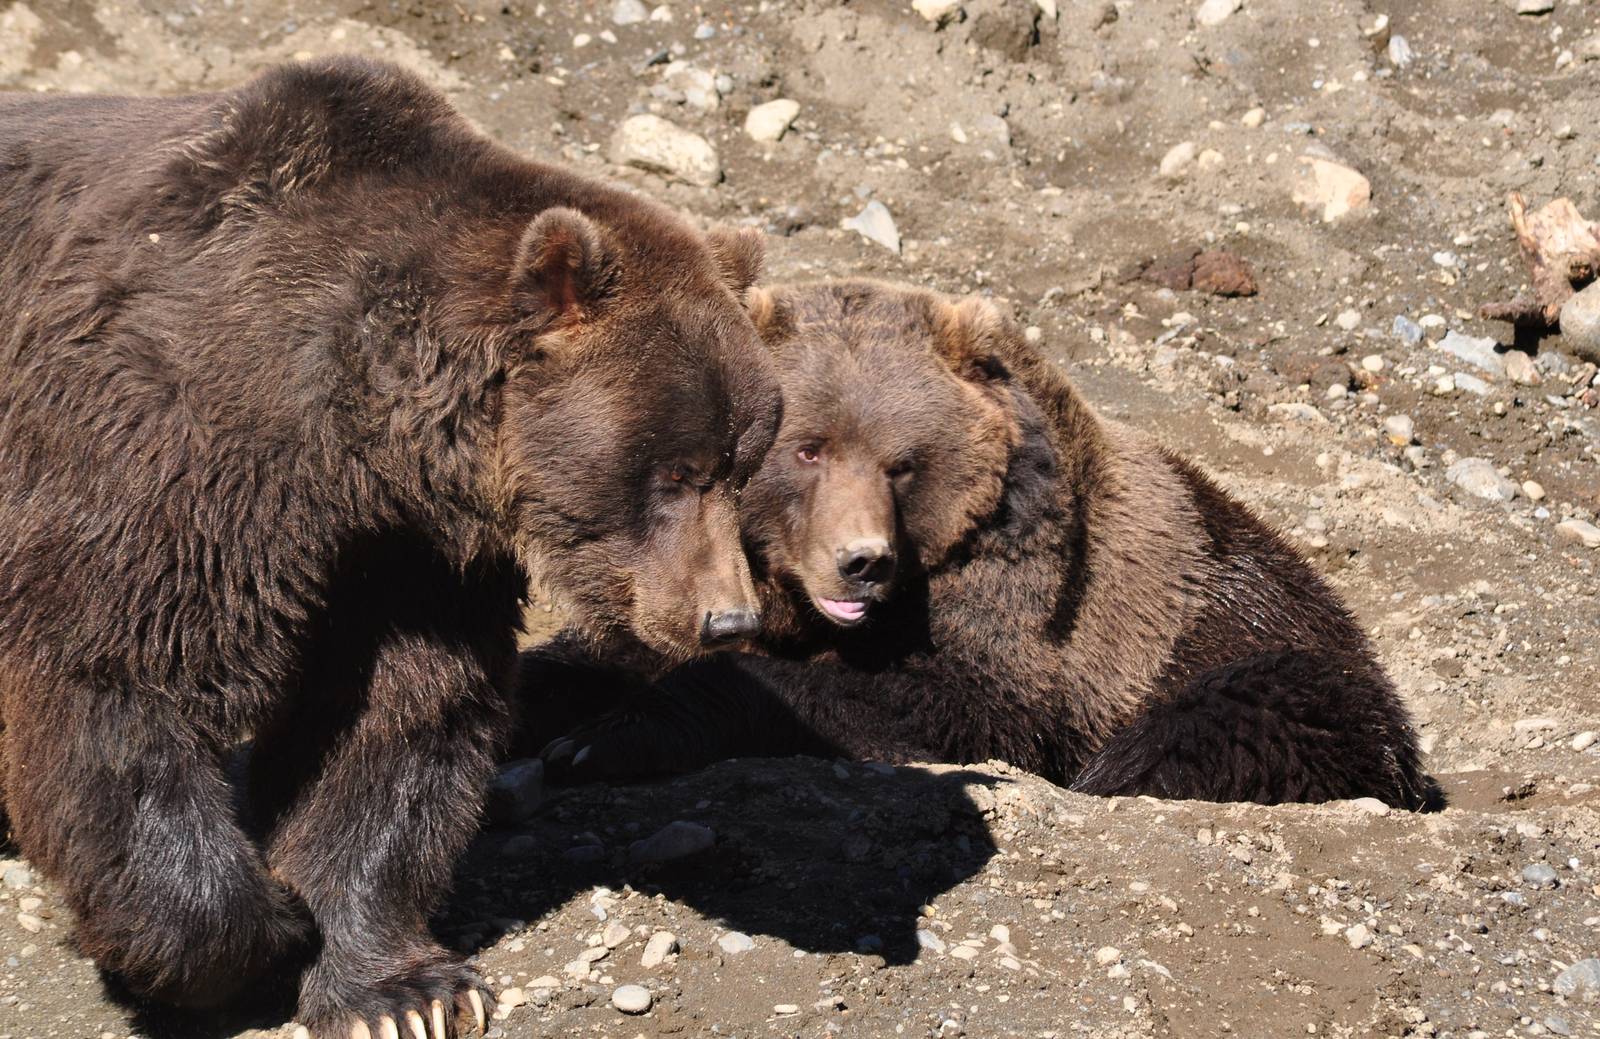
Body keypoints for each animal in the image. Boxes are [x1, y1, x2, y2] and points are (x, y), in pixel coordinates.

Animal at [0, 58, 780, 1037]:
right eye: (675, 470)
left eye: (741, 465)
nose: (729, 618)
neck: (352, 430)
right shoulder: (164, 443)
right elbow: (120, 677)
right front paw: (254, 930)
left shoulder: (405, 553)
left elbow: (394, 720)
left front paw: (400, 989)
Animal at [520, 279, 1439, 812]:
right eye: (808, 448)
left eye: (903, 462)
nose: (862, 561)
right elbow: (606, 652)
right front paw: (558, 705)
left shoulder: (1015, 597)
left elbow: (943, 701)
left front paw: (603, 739)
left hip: (1258, 648)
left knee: (1213, 726)